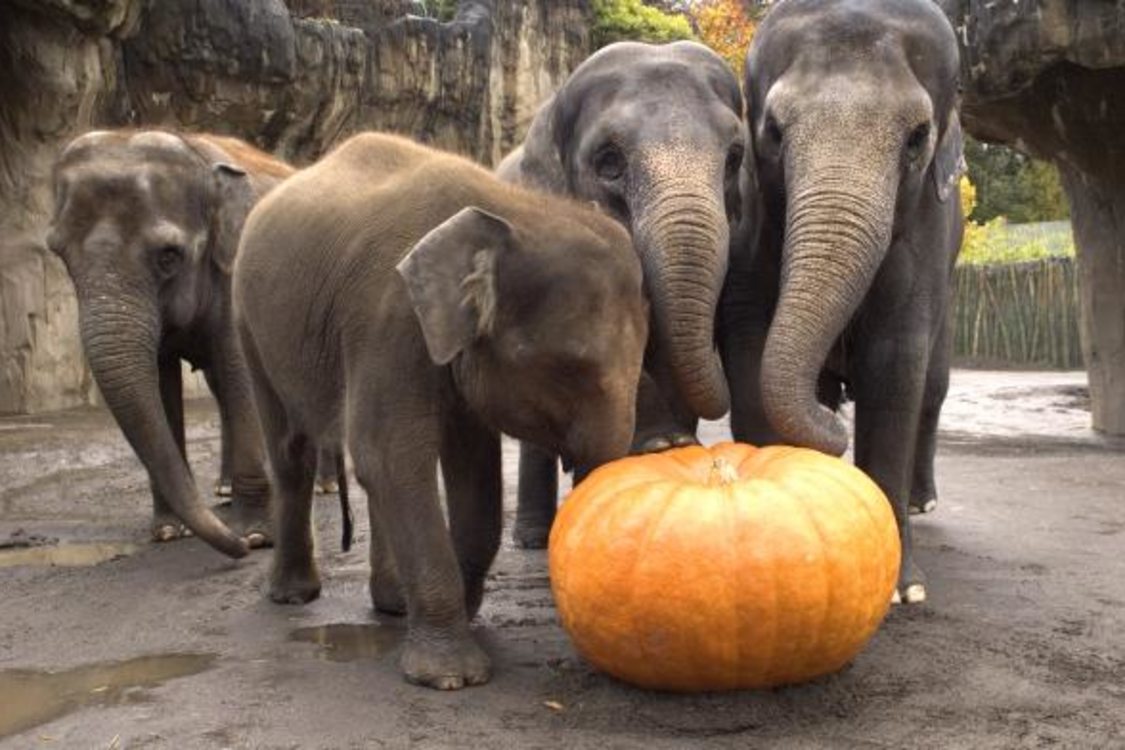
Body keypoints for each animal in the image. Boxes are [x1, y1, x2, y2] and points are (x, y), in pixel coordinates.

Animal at [46, 129, 297, 557]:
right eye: (60, 254)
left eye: (168, 256)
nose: (237, 549)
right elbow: (162, 385)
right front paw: (168, 532)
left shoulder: (234, 270)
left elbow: (239, 372)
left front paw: (256, 536)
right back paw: (224, 492)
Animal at [232, 133, 648, 692]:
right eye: (568, 368)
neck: (512, 209)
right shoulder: (389, 318)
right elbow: (389, 454)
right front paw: (452, 678)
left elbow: (472, 467)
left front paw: (465, 614)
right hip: (247, 322)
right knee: (291, 450)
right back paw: (293, 596)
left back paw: (390, 604)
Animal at [720, 0, 967, 602]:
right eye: (773, 132)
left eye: (917, 137)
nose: (834, 443)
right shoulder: (751, 223)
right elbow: (749, 343)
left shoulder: (925, 230)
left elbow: (894, 363)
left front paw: (904, 590)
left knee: (933, 386)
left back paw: (923, 502)